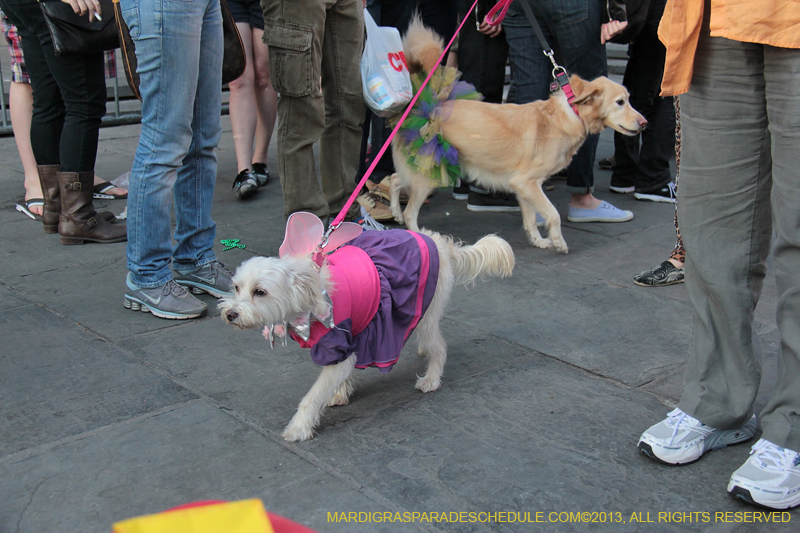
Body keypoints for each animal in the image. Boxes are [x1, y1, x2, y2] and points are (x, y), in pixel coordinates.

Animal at [219, 229, 512, 440]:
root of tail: (438, 241)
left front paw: (299, 428)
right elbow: (340, 375)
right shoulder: (347, 341)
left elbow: (312, 396)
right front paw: (341, 392)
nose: (230, 314)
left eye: (260, 292)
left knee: (440, 346)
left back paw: (431, 378)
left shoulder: (338, 345)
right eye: (236, 287)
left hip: (426, 316)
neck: (310, 294)